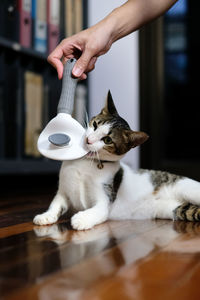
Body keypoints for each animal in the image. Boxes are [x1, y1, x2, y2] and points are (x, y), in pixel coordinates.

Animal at [33, 91, 200, 230]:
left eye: (107, 140)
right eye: (95, 124)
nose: (88, 139)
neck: (87, 163)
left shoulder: (105, 198)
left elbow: (99, 210)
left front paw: (82, 219)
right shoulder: (63, 191)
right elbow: (56, 204)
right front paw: (46, 216)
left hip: (189, 189)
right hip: (172, 208)